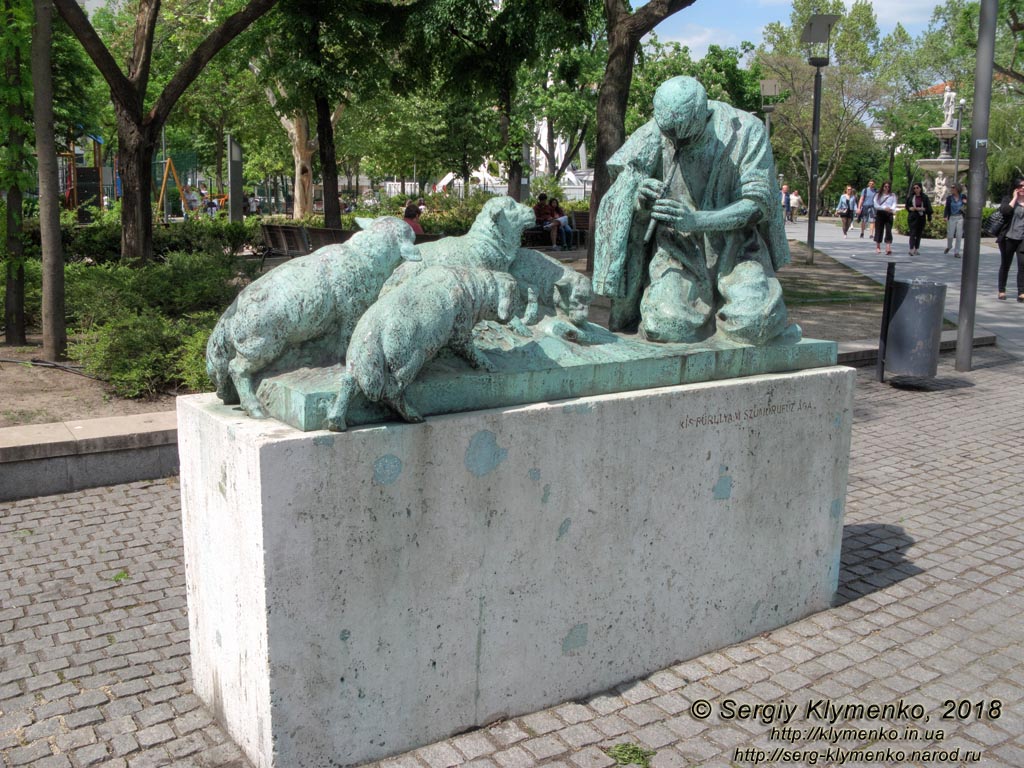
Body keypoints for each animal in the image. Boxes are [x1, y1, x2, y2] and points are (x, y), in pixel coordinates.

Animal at [207, 217, 419, 421]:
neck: (363, 255)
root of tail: (231, 314)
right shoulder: (351, 312)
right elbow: (345, 344)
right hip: (261, 345)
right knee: (236, 368)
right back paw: (254, 407)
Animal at [325, 268, 520, 430]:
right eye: (515, 296)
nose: (513, 314)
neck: (473, 288)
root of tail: (371, 336)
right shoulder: (460, 329)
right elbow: (471, 350)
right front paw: (489, 366)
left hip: (359, 364)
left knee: (348, 384)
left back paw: (336, 421)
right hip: (408, 360)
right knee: (390, 391)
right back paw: (413, 416)